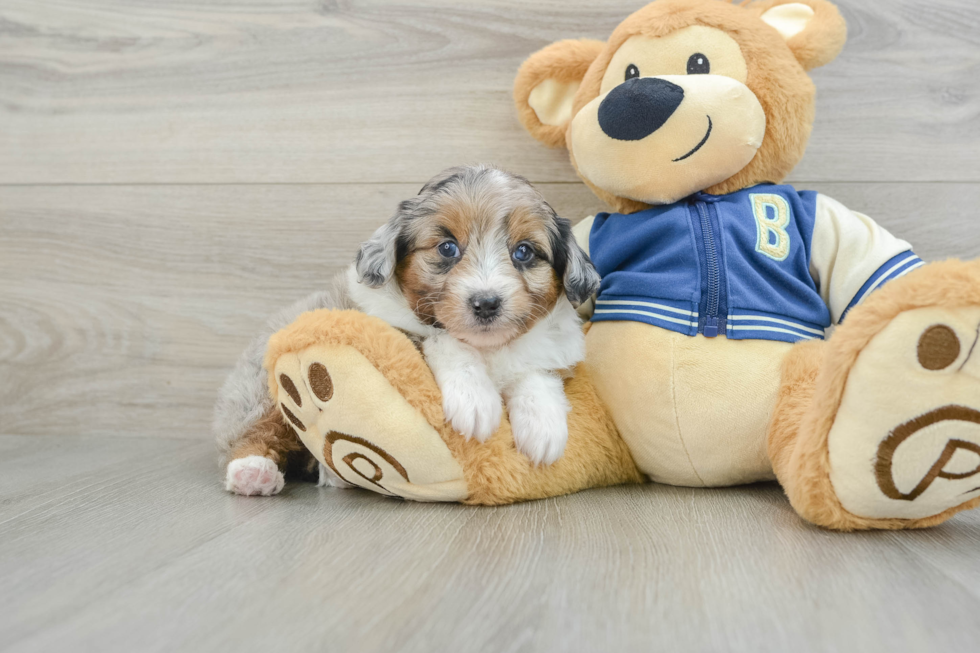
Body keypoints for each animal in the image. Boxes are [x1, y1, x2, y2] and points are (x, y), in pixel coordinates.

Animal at [214, 166, 596, 496]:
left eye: (524, 252)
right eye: (447, 247)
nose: (487, 303)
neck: (487, 348)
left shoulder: (548, 350)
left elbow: (535, 373)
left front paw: (543, 425)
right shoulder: (390, 327)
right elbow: (441, 338)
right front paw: (474, 398)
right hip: (259, 392)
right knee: (253, 431)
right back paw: (253, 472)